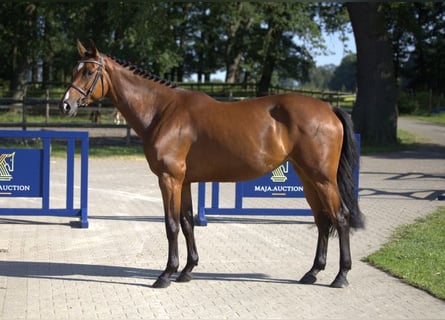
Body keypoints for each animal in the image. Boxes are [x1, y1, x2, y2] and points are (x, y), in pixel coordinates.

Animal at [60, 40, 362, 290]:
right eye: (74, 69)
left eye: (89, 71)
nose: (66, 105)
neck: (162, 111)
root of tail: (328, 108)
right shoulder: (184, 181)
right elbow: (186, 222)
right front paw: (187, 270)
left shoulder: (169, 179)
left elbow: (171, 225)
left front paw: (166, 275)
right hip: (307, 177)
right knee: (323, 220)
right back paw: (312, 272)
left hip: (322, 179)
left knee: (341, 217)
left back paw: (341, 276)